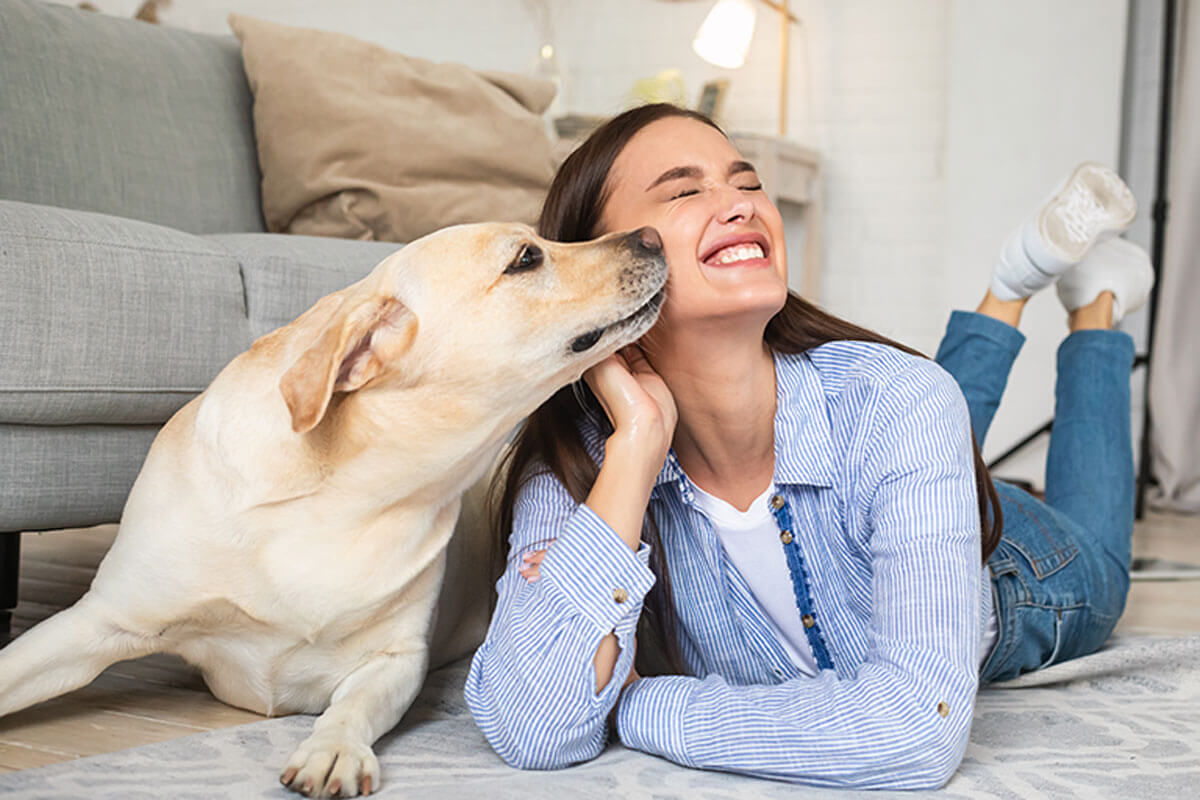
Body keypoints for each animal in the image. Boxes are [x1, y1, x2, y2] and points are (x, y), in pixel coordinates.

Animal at [0, 221, 667, 796]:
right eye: (526, 258)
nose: (653, 235)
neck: (339, 500)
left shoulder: (396, 660)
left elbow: (351, 707)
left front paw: (333, 750)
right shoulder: (102, 621)